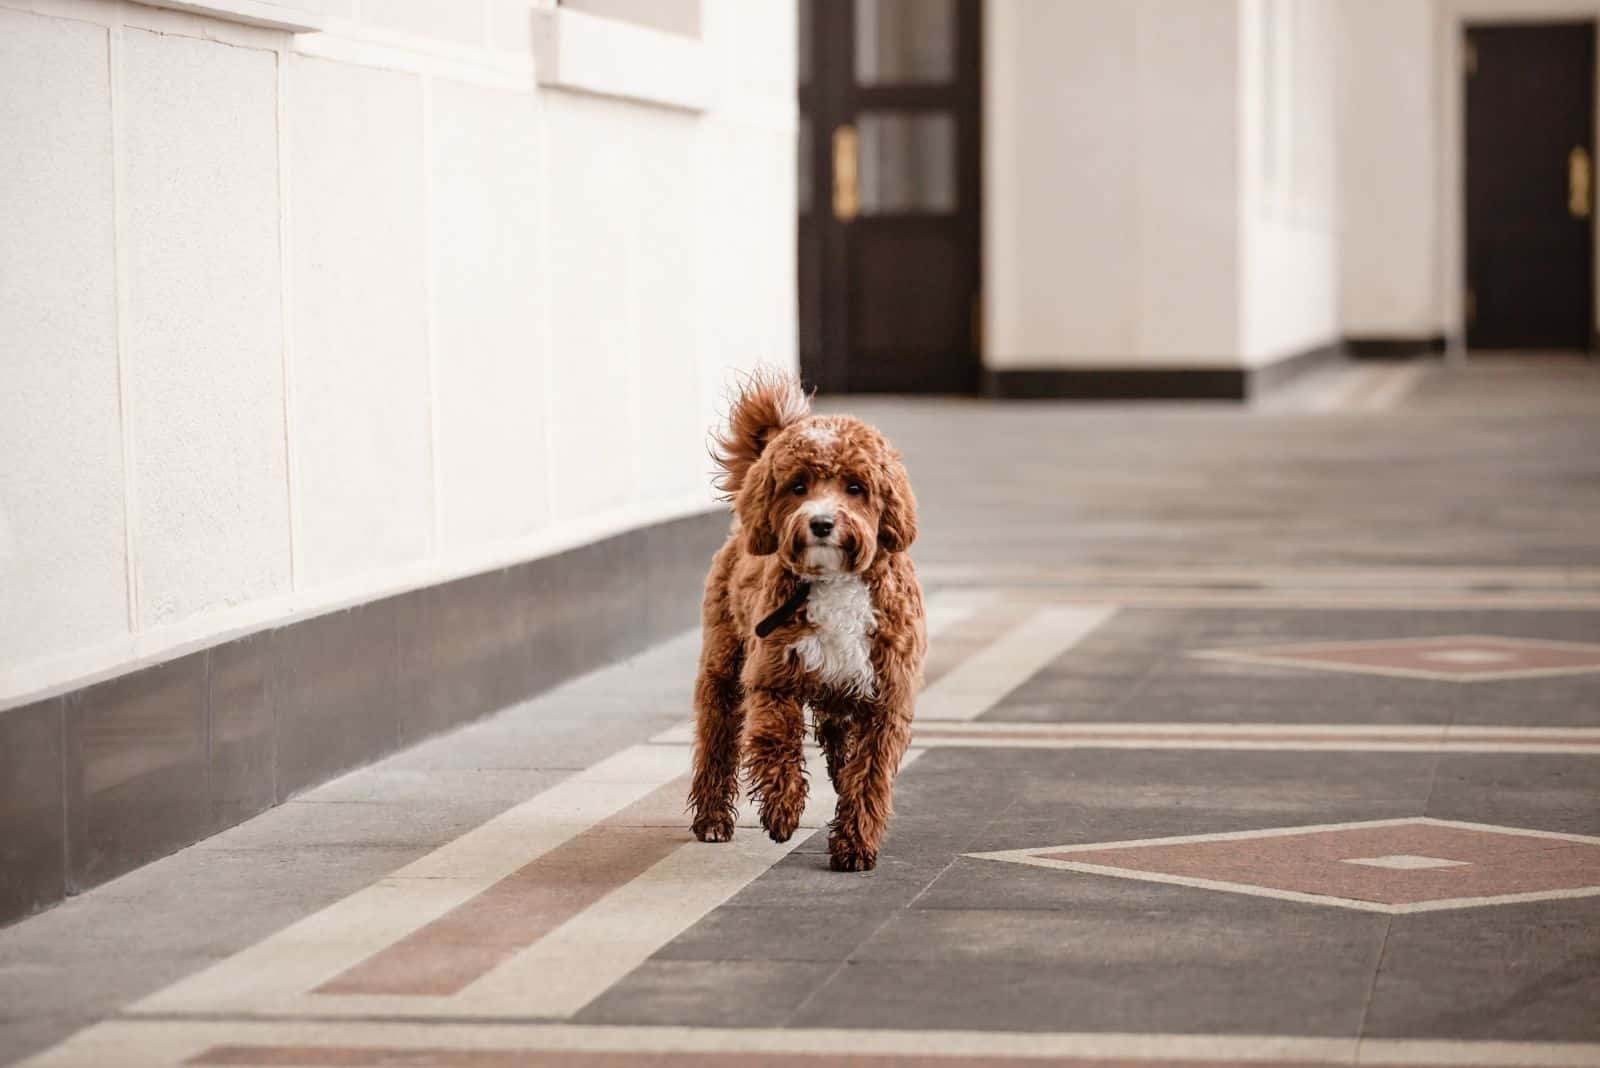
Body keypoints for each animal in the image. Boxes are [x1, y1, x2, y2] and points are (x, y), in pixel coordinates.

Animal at [688, 370, 928, 869]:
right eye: (798, 486)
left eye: (855, 487)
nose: (820, 524)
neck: (834, 581)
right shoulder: (773, 677)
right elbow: (776, 743)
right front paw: (782, 812)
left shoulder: (886, 694)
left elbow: (869, 773)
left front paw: (855, 844)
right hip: (723, 663)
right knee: (716, 737)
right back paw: (713, 818)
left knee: (840, 742)